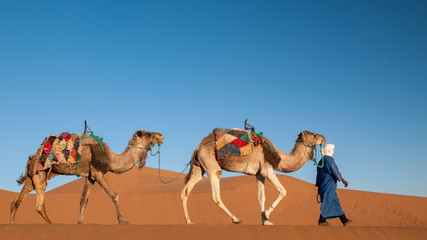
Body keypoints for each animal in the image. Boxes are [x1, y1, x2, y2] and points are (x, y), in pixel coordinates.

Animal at [10, 130, 165, 224]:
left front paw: (79, 223)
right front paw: (123, 220)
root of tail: (32, 156)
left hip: (32, 177)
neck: (111, 158)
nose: (161, 135)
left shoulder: (90, 176)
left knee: (16, 202)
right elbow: (114, 195)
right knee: (39, 205)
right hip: (40, 173)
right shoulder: (97, 172)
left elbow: (83, 200)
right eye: (148, 133)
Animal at [180, 129, 324, 225]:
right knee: (215, 194)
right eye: (313, 134)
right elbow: (283, 191)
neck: (277, 156)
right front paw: (267, 215)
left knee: (185, 191)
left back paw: (189, 221)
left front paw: (265, 221)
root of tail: (198, 147)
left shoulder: (259, 174)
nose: (324, 138)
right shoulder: (267, 170)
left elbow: (261, 196)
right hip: (212, 167)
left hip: (199, 168)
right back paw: (236, 219)